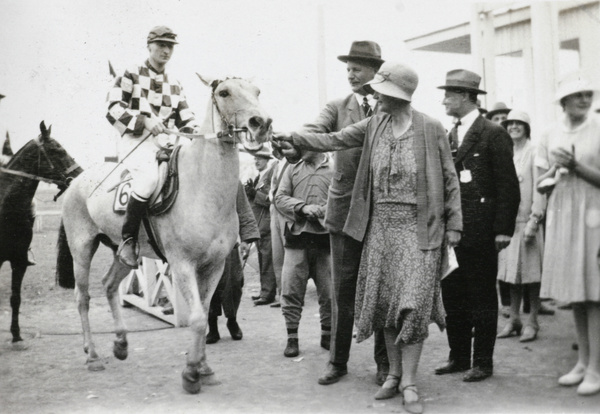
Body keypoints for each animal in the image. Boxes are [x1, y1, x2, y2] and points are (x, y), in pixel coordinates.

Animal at [56, 76, 272, 392]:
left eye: (257, 91)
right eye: (224, 92)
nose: (261, 122)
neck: (201, 187)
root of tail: (76, 181)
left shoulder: (214, 266)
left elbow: (204, 314)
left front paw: (204, 369)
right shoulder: (182, 265)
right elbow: (198, 318)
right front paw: (192, 373)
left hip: (124, 253)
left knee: (109, 285)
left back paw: (121, 343)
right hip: (82, 249)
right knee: (82, 298)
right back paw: (93, 356)